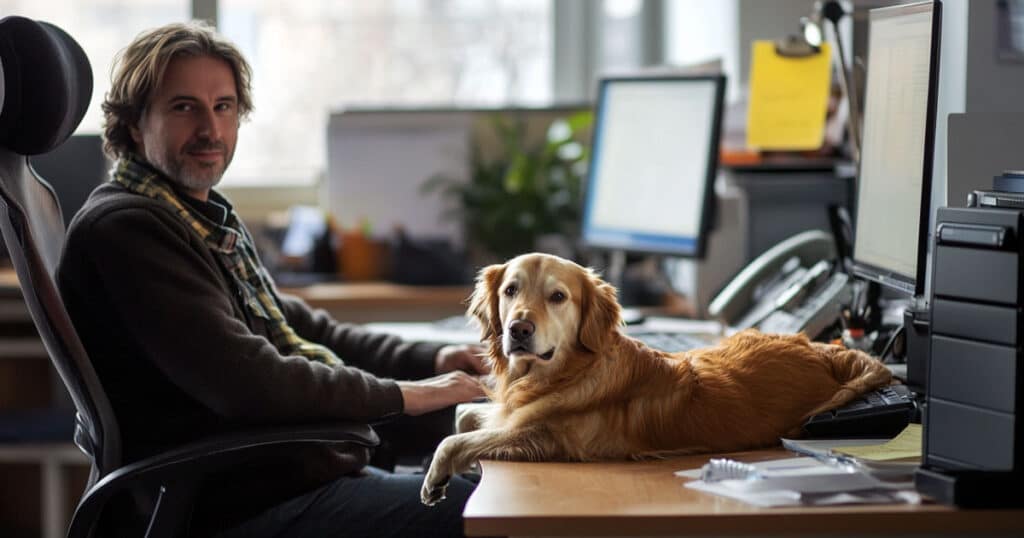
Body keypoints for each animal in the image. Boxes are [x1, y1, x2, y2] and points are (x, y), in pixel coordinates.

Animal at [419, 252, 892, 504]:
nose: (518, 329)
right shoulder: (512, 416)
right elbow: (465, 415)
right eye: (510, 290)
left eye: (557, 296)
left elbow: (455, 437)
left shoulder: (553, 439)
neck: (565, 372)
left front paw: (436, 476)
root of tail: (826, 349)